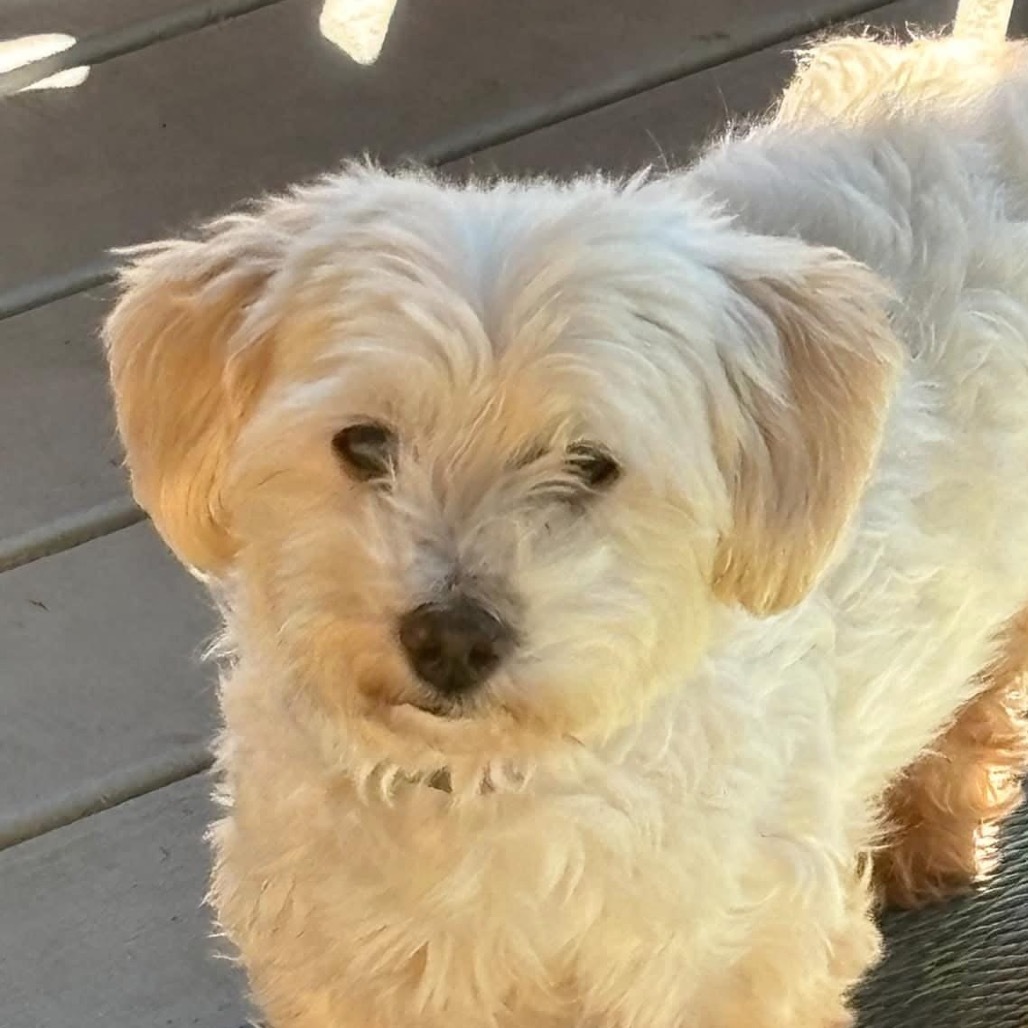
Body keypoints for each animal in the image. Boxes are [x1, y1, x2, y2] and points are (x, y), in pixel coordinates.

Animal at [102, 10, 1028, 1028]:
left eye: (590, 464)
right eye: (363, 443)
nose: (452, 638)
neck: (491, 787)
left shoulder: (728, 966)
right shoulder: (344, 972)